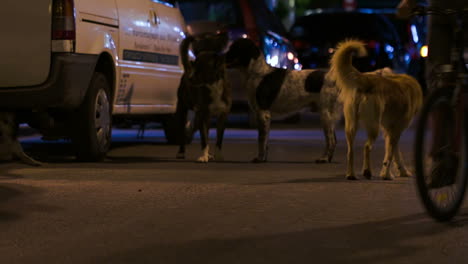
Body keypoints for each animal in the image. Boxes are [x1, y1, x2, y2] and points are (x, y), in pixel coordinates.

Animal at [330, 39, 424, 179]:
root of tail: (365, 79)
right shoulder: (396, 130)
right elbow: (390, 155)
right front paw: (387, 175)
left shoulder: (390, 132)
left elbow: (396, 154)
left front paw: (401, 171)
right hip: (374, 127)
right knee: (367, 147)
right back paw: (367, 171)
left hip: (351, 126)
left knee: (350, 151)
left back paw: (351, 174)